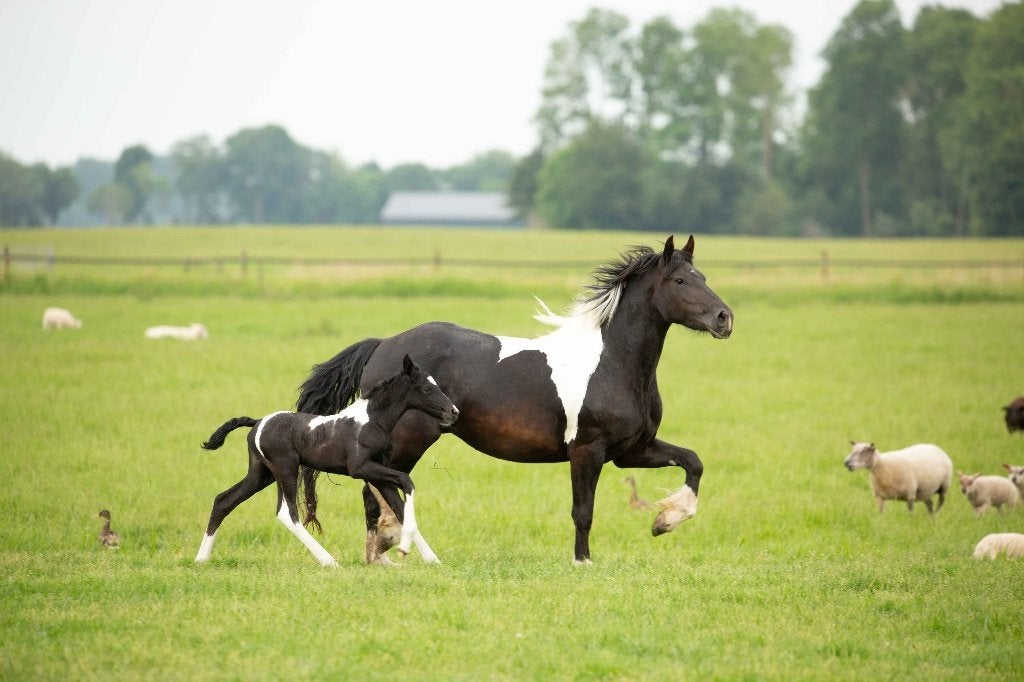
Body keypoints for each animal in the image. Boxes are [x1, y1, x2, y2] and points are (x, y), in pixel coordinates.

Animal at [195, 355, 459, 567]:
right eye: (426, 389)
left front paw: (430, 558)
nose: (453, 412)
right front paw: (402, 547)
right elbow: (407, 482)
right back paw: (329, 561)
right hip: (285, 469)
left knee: (224, 500)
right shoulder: (361, 468)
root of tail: (259, 422)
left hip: (262, 473)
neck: (372, 420)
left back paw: (201, 559)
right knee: (287, 513)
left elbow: (400, 506)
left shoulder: (378, 471)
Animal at [297, 235, 733, 564]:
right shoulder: (587, 451)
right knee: (375, 490)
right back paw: (389, 551)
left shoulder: (632, 451)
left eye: (703, 276)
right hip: (409, 439)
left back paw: (381, 555)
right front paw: (583, 562)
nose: (724, 319)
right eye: (680, 281)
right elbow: (583, 512)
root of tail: (383, 344)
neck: (612, 364)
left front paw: (665, 521)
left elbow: (693, 462)